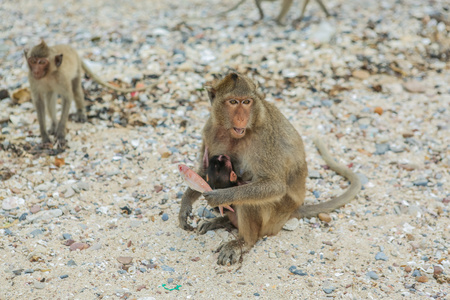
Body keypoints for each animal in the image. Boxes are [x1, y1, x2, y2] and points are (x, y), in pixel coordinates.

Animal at [179, 73, 362, 264]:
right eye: (233, 102)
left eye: (246, 102)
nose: (242, 118)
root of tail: (292, 211)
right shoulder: (210, 129)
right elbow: (203, 171)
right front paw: (186, 203)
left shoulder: (265, 137)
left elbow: (275, 186)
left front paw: (220, 197)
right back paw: (223, 222)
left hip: (274, 216)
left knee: (247, 198)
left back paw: (244, 241)